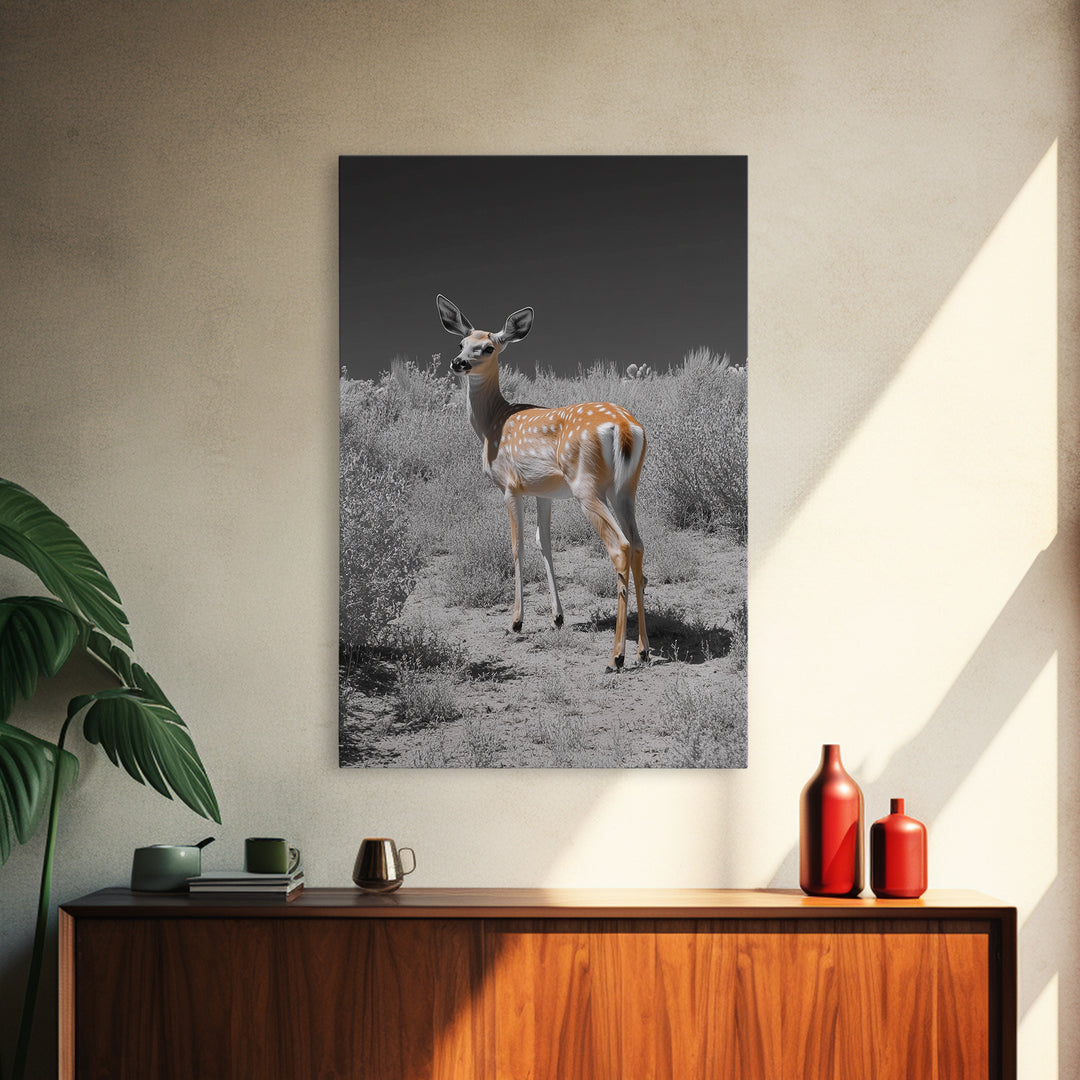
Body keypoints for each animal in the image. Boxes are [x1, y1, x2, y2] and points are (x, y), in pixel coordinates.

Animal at [436, 294, 650, 673]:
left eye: (488, 347)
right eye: (461, 342)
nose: (458, 362)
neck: (492, 423)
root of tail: (625, 427)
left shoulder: (510, 486)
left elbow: (517, 545)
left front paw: (515, 622)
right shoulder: (543, 492)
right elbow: (545, 544)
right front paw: (557, 618)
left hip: (586, 486)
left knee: (620, 546)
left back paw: (616, 656)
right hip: (625, 488)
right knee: (638, 544)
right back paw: (643, 650)